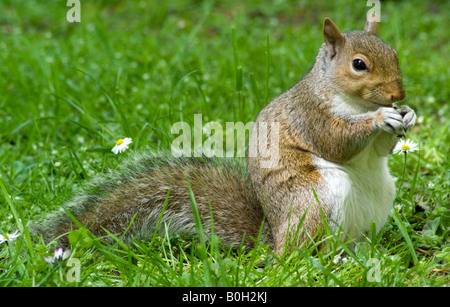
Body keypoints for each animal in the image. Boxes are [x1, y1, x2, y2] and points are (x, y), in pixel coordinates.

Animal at [29, 17, 414, 255]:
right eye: (359, 64)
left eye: (395, 53)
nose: (398, 94)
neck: (352, 100)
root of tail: (273, 240)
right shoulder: (310, 115)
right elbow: (337, 141)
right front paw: (380, 117)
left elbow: (381, 150)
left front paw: (407, 115)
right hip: (314, 200)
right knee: (301, 253)